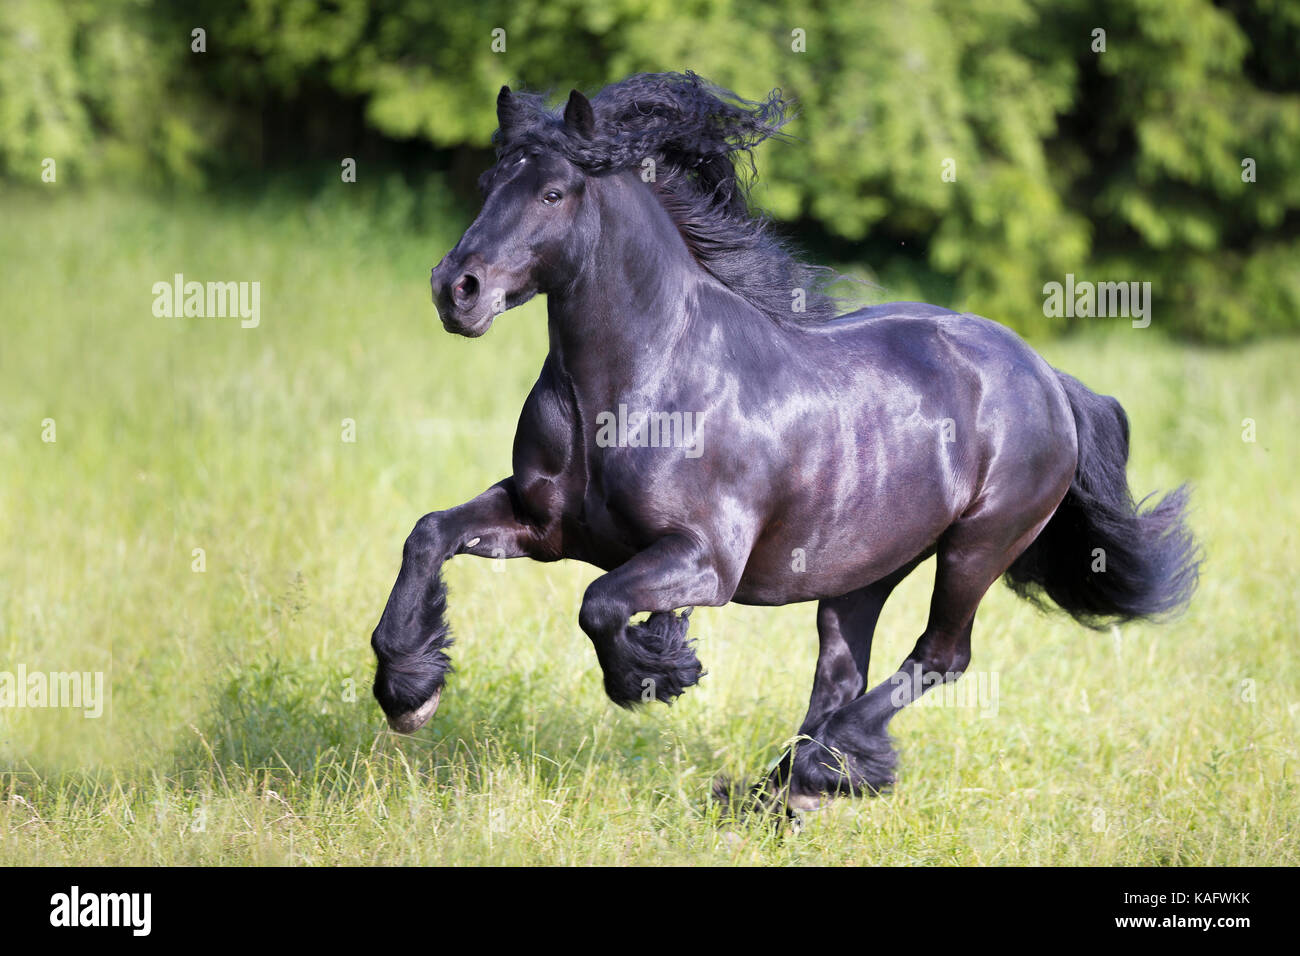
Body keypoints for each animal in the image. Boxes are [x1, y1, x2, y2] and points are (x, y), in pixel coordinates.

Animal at [366, 70, 1196, 811]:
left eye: (552, 192)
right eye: (488, 183)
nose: (457, 289)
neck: (638, 385)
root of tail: (1048, 377)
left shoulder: (704, 560)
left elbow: (599, 604)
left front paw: (658, 669)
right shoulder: (540, 525)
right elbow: (427, 534)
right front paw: (408, 690)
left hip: (977, 547)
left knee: (939, 657)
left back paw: (825, 767)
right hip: (863, 568)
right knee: (842, 669)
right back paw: (785, 789)